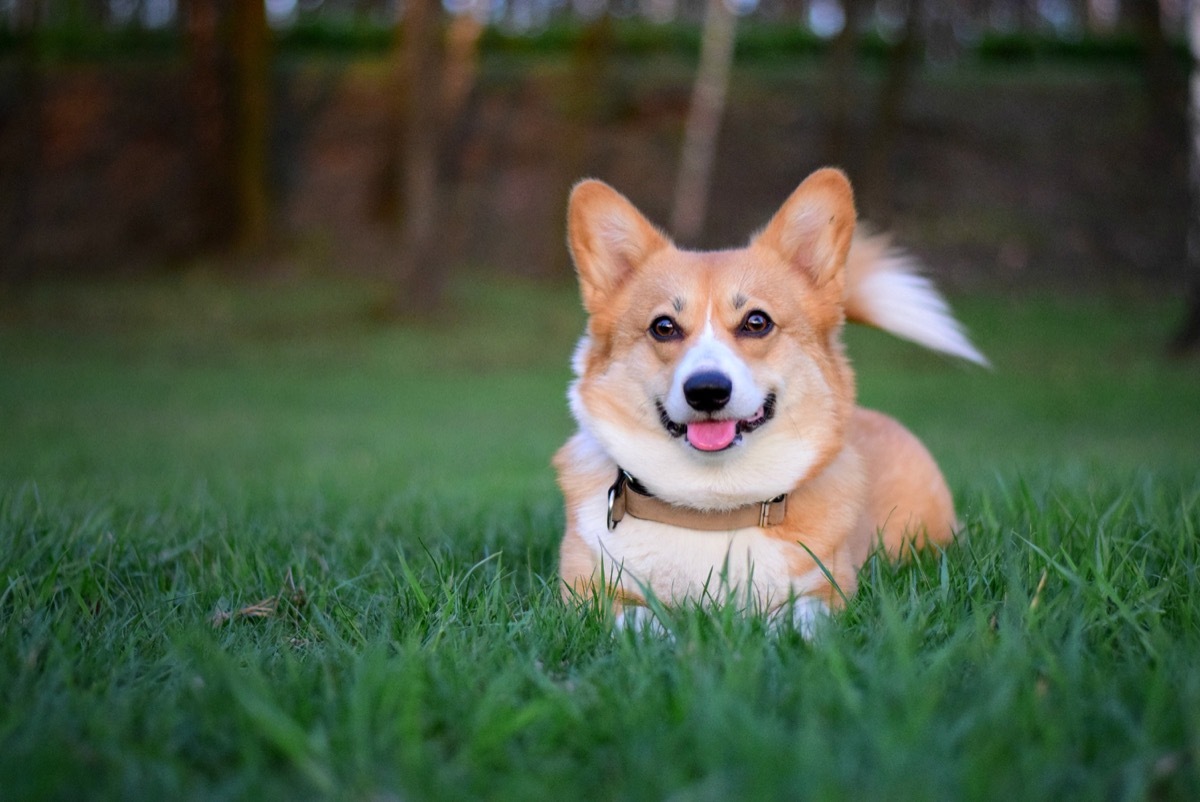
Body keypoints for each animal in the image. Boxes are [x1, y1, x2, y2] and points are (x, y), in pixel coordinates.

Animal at [552, 169, 984, 633]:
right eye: (663, 327)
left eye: (756, 322)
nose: (707, 389)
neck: (712, 509)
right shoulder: (587, 593)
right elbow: (640, 622)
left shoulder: (830, 589)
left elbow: (800, 620)